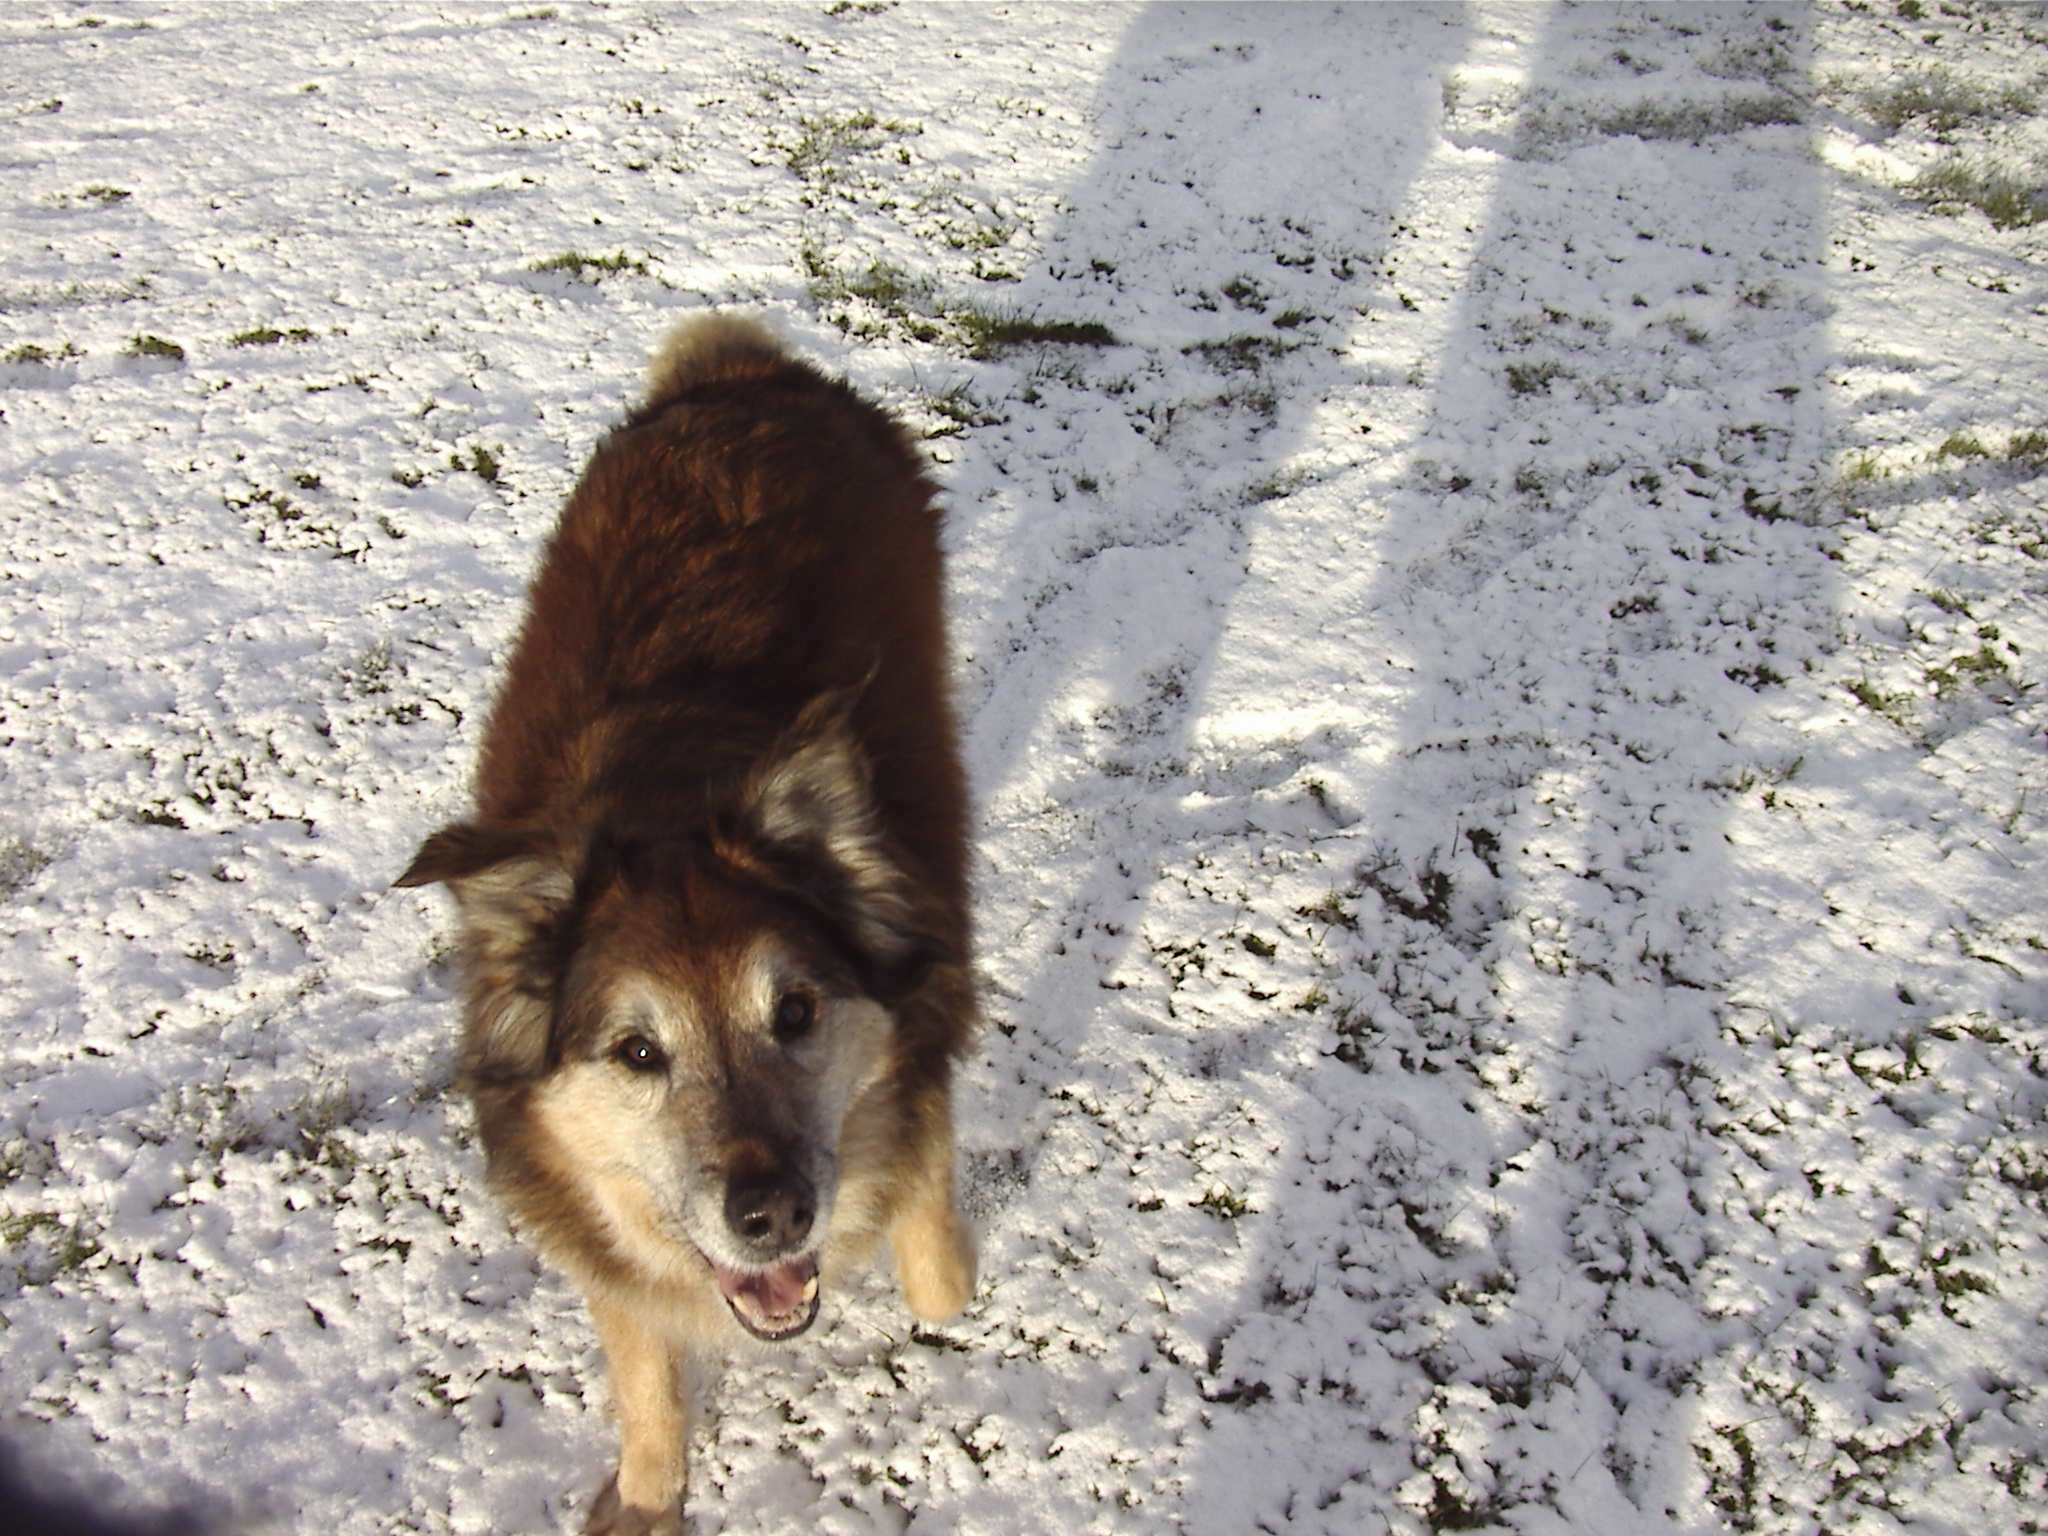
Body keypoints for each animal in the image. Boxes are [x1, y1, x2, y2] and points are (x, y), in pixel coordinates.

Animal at [403, 315, 978, 1536]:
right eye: (635, 1053)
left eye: (796, 1012)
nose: (773, 1216)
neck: (668, 798)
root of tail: (742, 373)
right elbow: (639, 1353)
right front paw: (649, 1488)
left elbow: (925, 1179)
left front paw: (946, 1292)